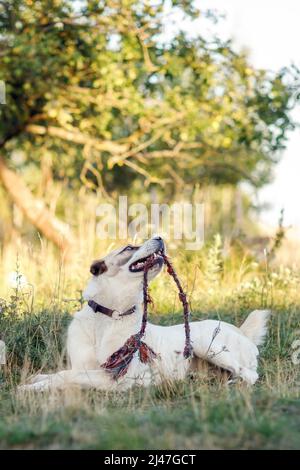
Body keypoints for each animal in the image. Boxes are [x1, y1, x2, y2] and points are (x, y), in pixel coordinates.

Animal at [19, 237, 270, 392]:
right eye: (129, 247)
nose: (160, 237)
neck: (110, 316)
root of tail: (241, 331)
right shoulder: (83, 366)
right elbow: (63, 373)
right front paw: (38, 379)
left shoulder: (115, 377)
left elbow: (67, 377)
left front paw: (30, 388)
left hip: (204, 344)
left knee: (249, 374)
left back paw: (232, 385)